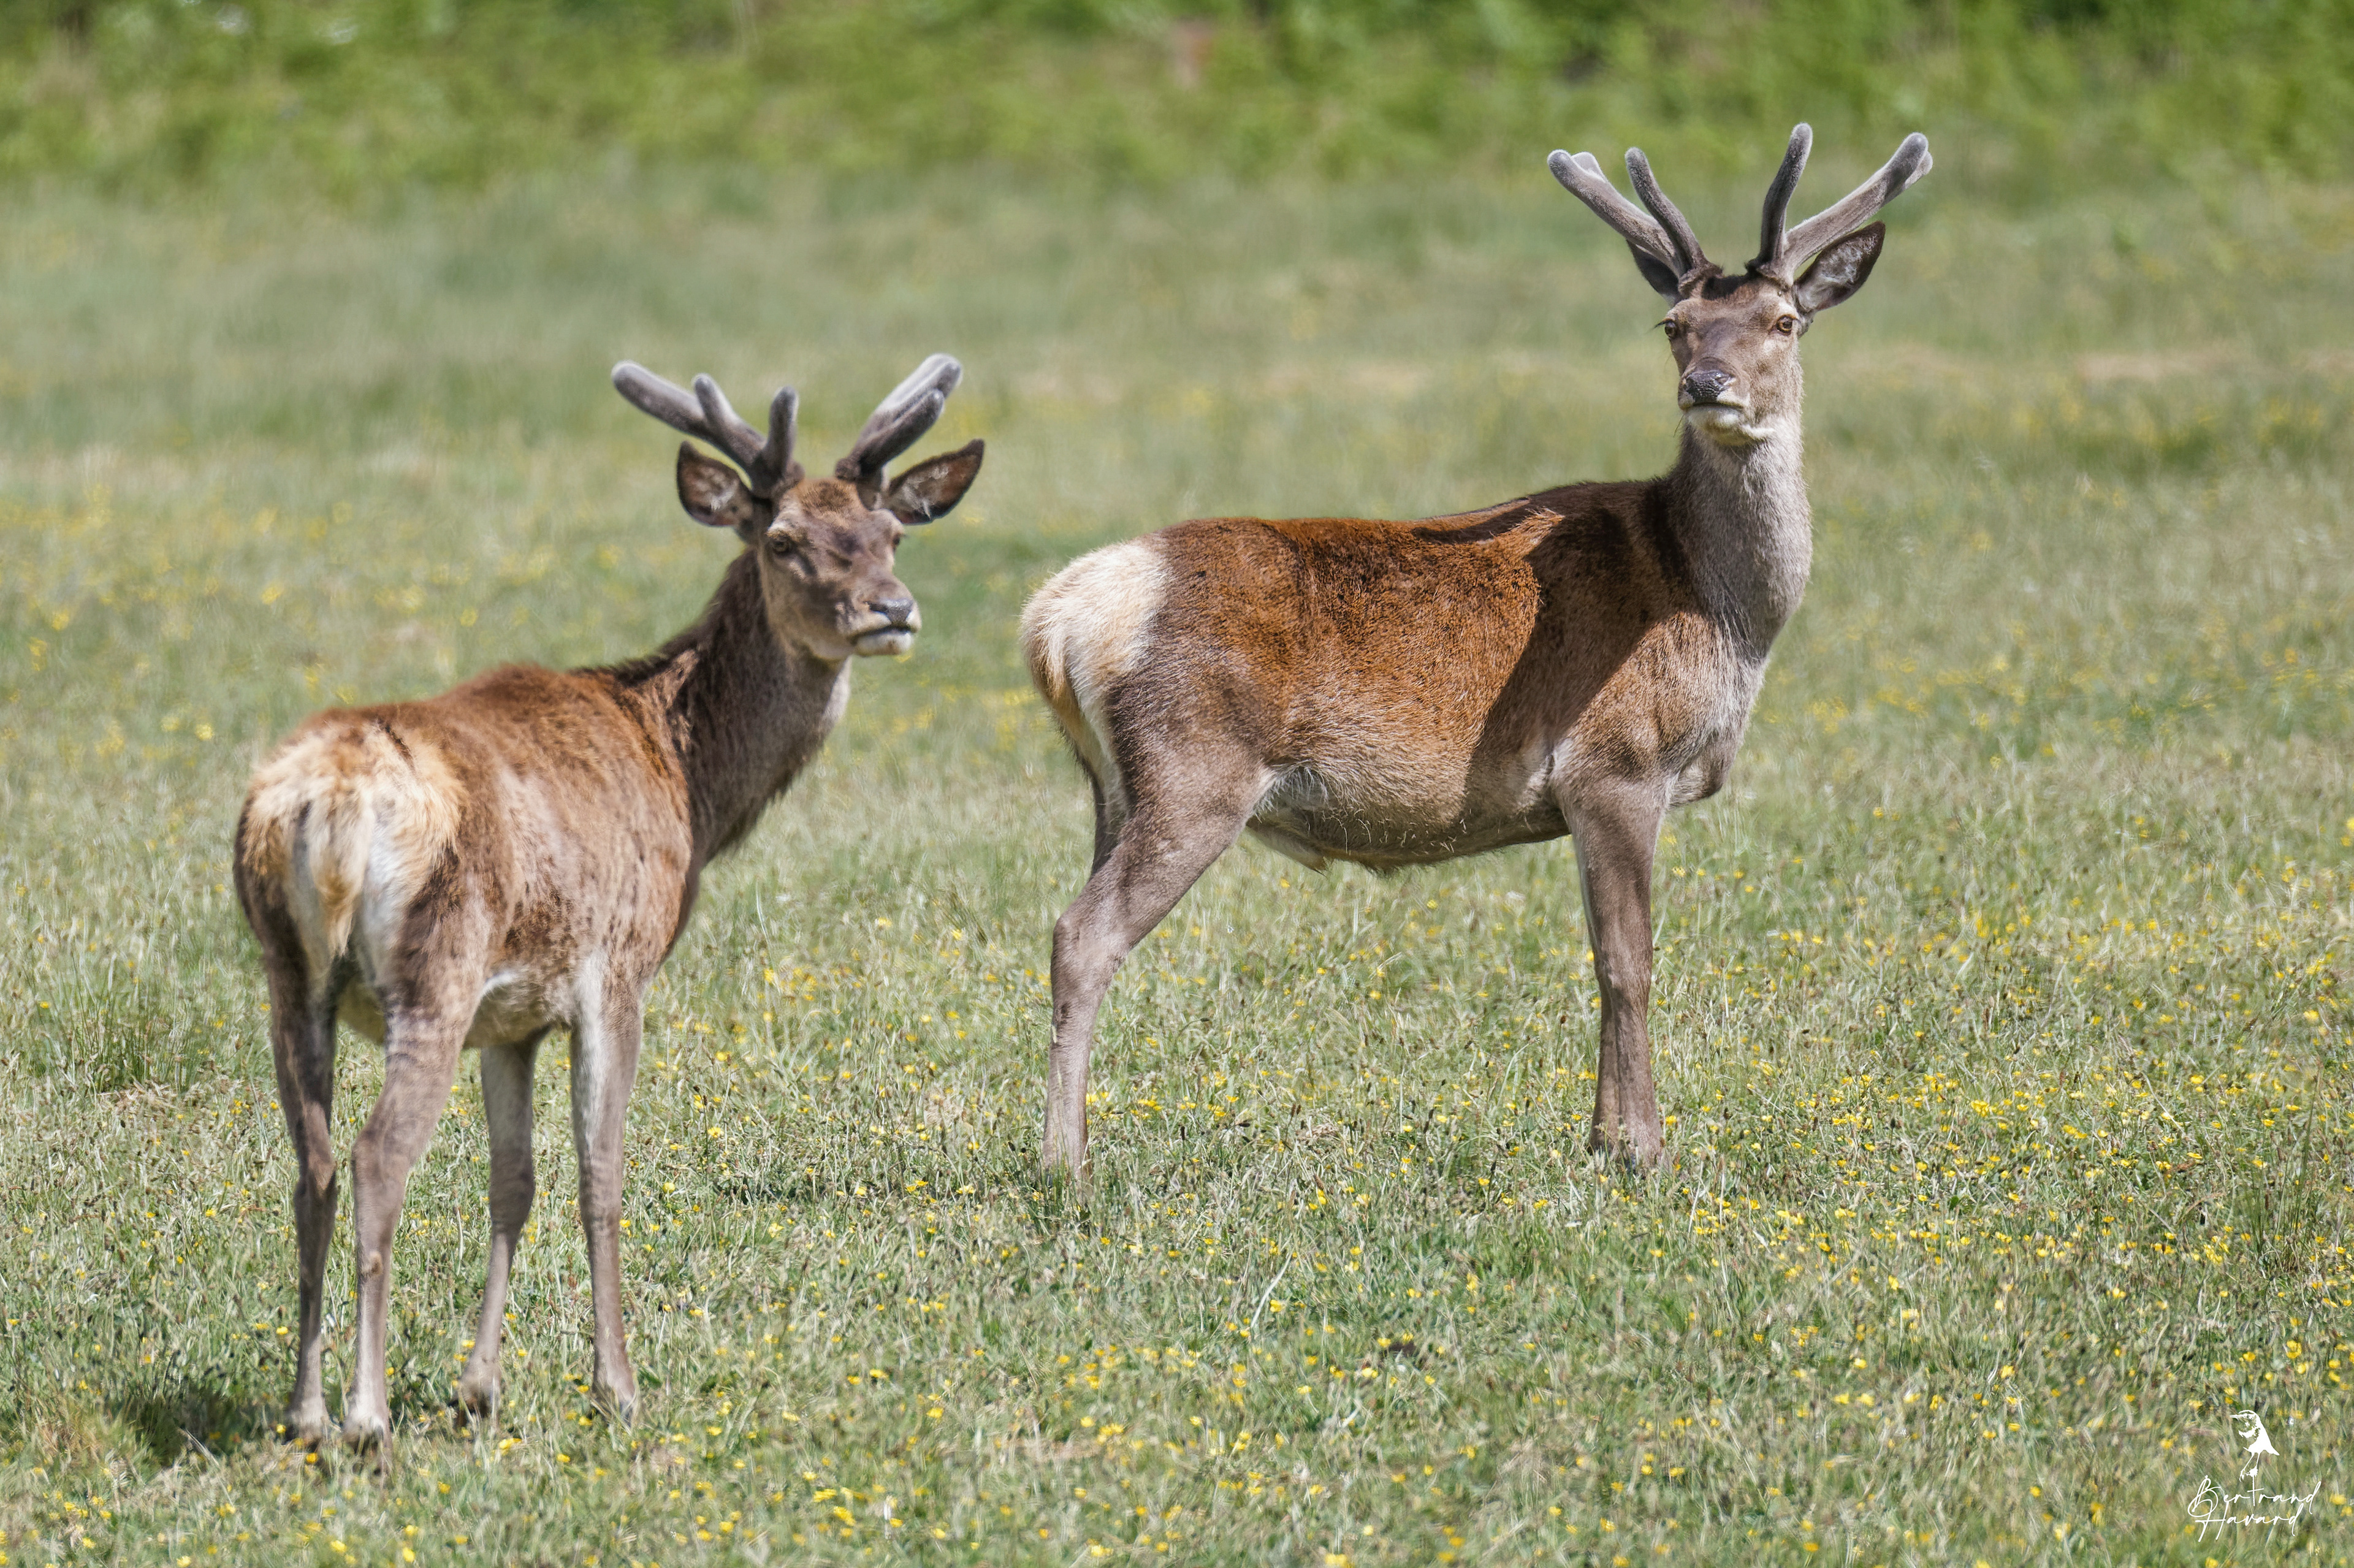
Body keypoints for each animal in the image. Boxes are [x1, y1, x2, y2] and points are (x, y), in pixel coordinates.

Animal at [233, 353, 983, 1448]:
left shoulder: (510, 1018)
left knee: (314, 1164)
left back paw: (306, 1409)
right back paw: (367, 1416)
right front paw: (617, 1386)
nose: (893, 608)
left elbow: (513, 1182)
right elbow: (601, 1174)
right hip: (433, 967)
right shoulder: (616, 968)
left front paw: (480, 1385)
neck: (685, 777)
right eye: (786, 541)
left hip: (290, 974)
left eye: (891, 533)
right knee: (376, 1159)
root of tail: (325, 801)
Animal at [1021, 124, 1929, 1178]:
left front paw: (1601, 1138)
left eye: (1785, 320)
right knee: (1082, 935)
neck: (1712, 606)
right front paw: (1643, 1152)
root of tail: (1058, 618)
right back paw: (1063, 1164)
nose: (1708, 385)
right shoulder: (1616, 762)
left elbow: (1600, 955)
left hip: (1110, 786)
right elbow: (1629, 961)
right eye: (1674, 324)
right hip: (1193, 768)